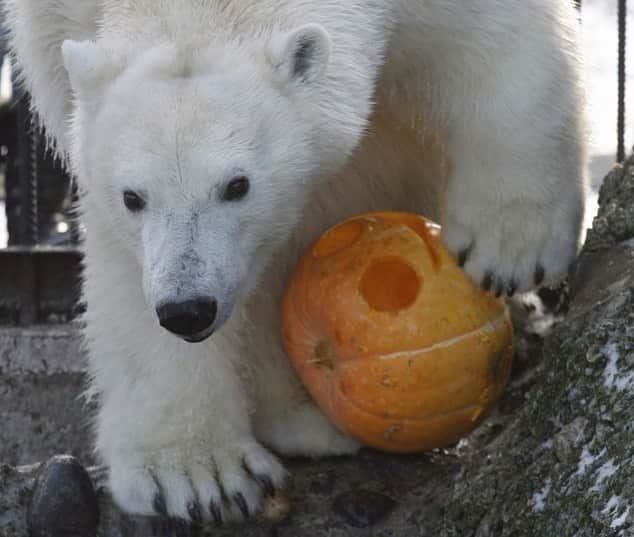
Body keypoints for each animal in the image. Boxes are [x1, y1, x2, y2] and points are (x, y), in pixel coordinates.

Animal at [7, 0, 584, 524]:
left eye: (237, 185)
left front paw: (511, 245)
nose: (187, 310)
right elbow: (121, 257)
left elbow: (492, 42)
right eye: (133, 196)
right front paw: (200, 475)